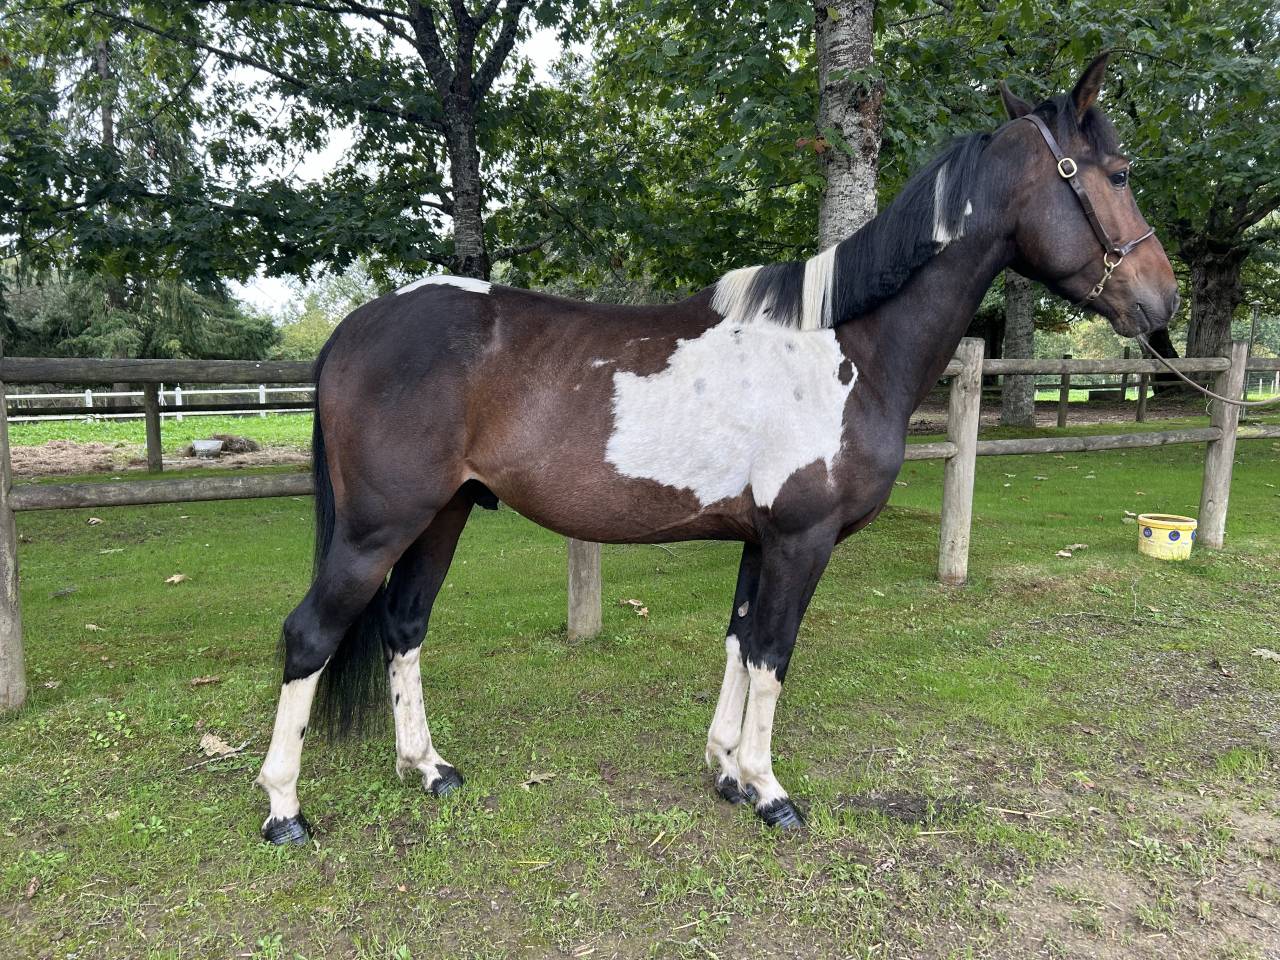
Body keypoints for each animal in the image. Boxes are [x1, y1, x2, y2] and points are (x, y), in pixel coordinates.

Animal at [255, 54, 1179, 841]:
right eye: (1120, 173)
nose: (1162, 302)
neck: (848, 345)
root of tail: (359, 324)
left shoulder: (760, 539)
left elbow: (738, 643)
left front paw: (727, 771)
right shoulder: (801, 540)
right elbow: (773, 654)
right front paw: (770, 791)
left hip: (442, 516)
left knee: (403, 627)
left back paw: (427, 768)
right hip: (377, 528)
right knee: (309, 636)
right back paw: (284, 810)